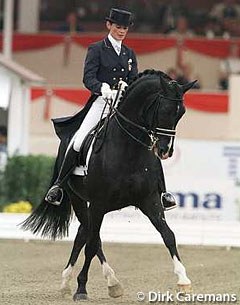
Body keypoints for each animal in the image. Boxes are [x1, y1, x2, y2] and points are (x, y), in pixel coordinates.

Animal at [21, 69, 196, 300]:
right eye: (164, 110)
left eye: (181, 113)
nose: (165, 151)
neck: (128, 149)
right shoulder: (98, 204)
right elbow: (93, 244)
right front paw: (81, 289)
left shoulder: (149, 201)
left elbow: (168, 235)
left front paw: (184, 281)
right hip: (78, 199)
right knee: (90, 236)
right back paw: (95, 281)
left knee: (83, 234)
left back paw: (88, 281)